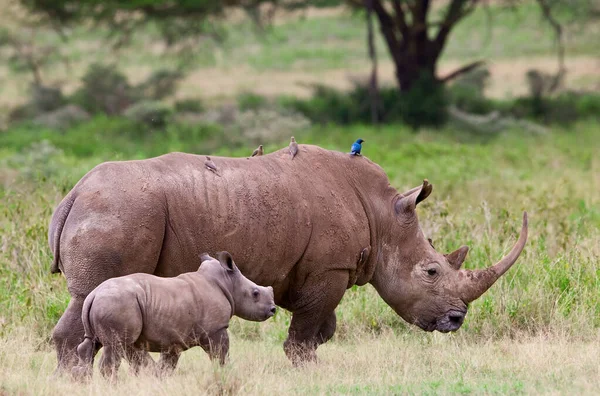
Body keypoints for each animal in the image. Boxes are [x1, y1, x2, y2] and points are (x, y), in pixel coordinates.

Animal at [71, 252, 276, 378]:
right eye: (255, 293)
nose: (273, 309)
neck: (226, 282)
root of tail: (93, 295)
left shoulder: (174, 338)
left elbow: (167, 365)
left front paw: (159, 379)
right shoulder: (216, 329)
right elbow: (221, 356)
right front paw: (225, 374)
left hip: (106, 304)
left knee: (92, 345)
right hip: (117, 304)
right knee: (116, 346)